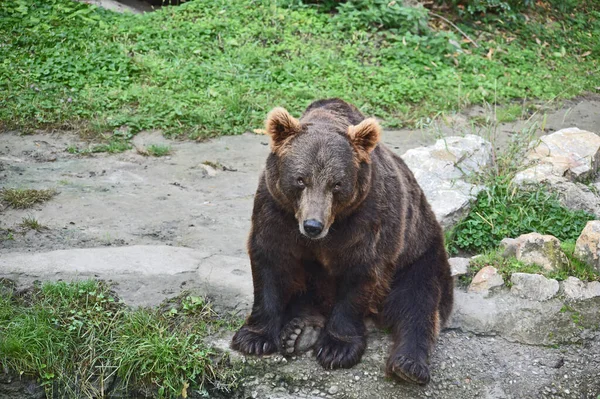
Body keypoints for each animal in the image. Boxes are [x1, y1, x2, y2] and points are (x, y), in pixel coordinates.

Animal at [232, 98, 452, 386]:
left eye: (336, 184)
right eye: (300, 179)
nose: (313, 226)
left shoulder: (366, 218)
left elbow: (358, 273)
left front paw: (337, 348)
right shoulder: (275, 209)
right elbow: (270, 260)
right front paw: (254, 337)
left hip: (419, 252)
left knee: (419, 300)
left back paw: (409, 365)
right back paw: (299, 331)